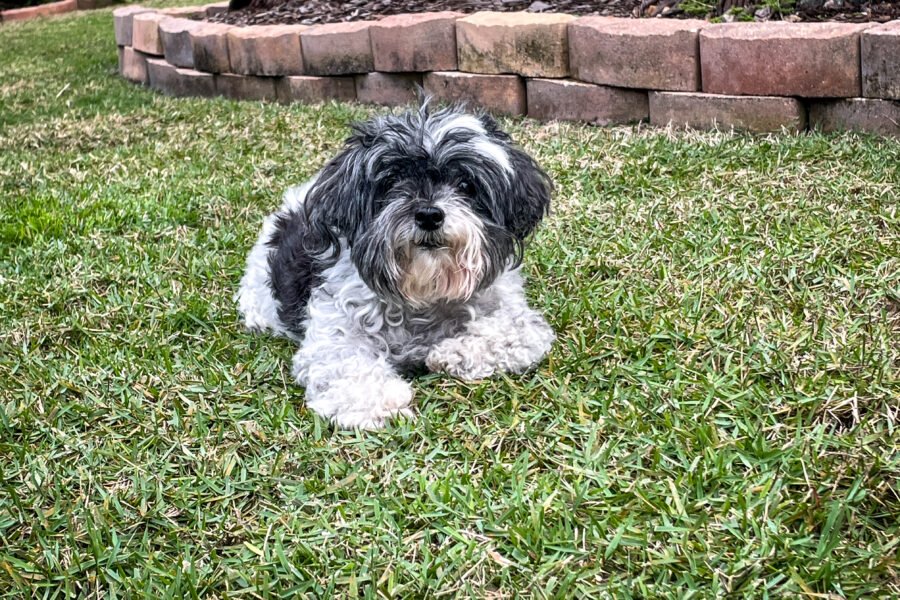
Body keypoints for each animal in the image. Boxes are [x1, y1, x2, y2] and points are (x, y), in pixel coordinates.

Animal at [237, 104, 556, 432]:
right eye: (391, 183)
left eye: (466, 185)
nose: (428, 214)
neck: (425, 294)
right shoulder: (333, 330)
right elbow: (345, 362)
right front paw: (379, 400)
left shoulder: (510, 309)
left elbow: (519, 331)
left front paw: (452, 352)